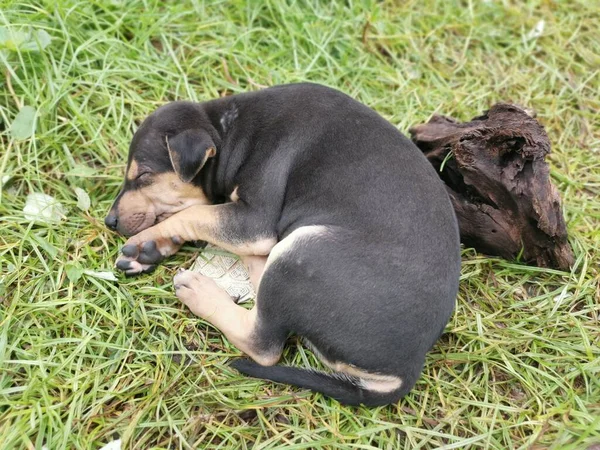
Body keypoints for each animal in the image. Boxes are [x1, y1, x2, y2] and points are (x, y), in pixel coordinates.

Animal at [106, 82, 460, 406]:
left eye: (143, 175)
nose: (110, 221)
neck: (227, 131)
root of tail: (406, 369)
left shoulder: (254, 222)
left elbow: (195, 213)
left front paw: (144, 241)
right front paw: (149, 249)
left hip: (299, 255)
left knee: (263, 342)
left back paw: (201, 290)